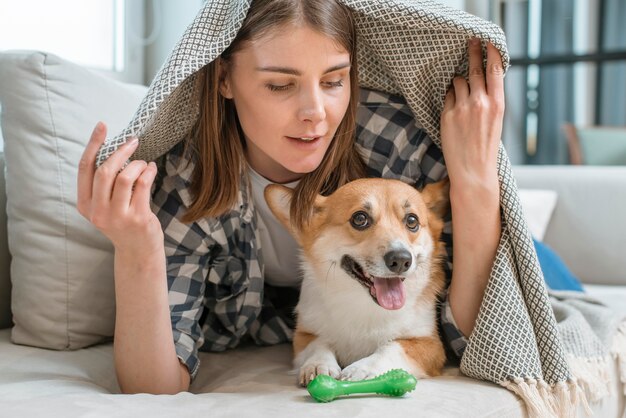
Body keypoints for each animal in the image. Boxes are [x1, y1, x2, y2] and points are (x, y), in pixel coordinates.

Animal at [264, 178, 448, 386]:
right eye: (360, 219)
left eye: (412, 221)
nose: (401, 260)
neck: (364, 304)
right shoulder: (304, 335)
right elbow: (318, 343)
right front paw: (319, 365)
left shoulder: (430, 344)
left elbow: (392, 346)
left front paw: (363, 368)